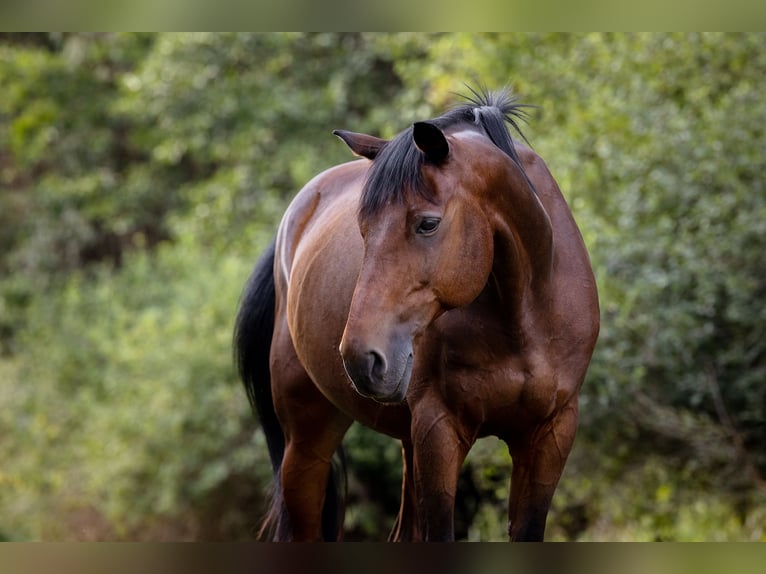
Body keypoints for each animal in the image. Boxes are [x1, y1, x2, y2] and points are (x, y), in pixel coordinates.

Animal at [234, 88, 600, 544]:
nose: (360, 358)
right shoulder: (438, 433)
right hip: (306, 442)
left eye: (427, 224)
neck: (523, 317)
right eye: (362, 229)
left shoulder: (550, 434)